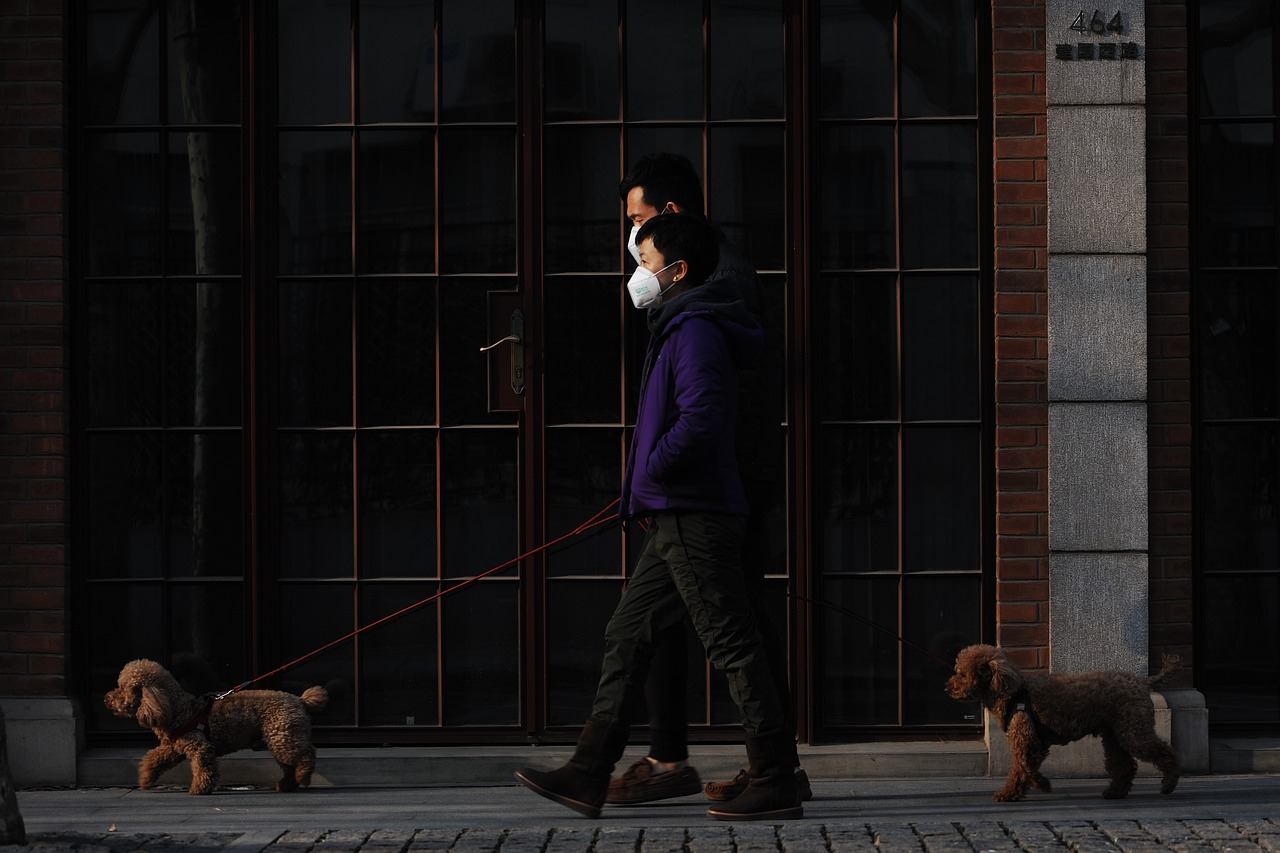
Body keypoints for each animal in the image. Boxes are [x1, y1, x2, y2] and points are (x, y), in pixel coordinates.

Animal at [104, 655, 327, 788]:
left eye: (122, 688)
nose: (106, 699)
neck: (176, 709)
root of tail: (300, 700)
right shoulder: (173, 747)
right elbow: (155, 759)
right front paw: (145, 778)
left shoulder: (199, 746)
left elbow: (203, 768)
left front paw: (199, 789)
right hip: (281, 737)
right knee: (290, 763)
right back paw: (287, 783)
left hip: (284, 736)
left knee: (306, 754)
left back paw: (303, 777)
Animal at [947, 645, 1172, 799]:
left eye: (962, 674)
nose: (947, 688)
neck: (1009, 692)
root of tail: (1143, 682)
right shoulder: (1036, 742)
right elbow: (1029, 766)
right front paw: (1040, 784)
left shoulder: (1026, 738)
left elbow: (1022, 766)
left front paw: (1010, 793)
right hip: (1115, 734)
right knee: (1125, 765)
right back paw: (1115, 792)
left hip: (1133, 730)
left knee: (1164, 752)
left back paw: (1170, 782)